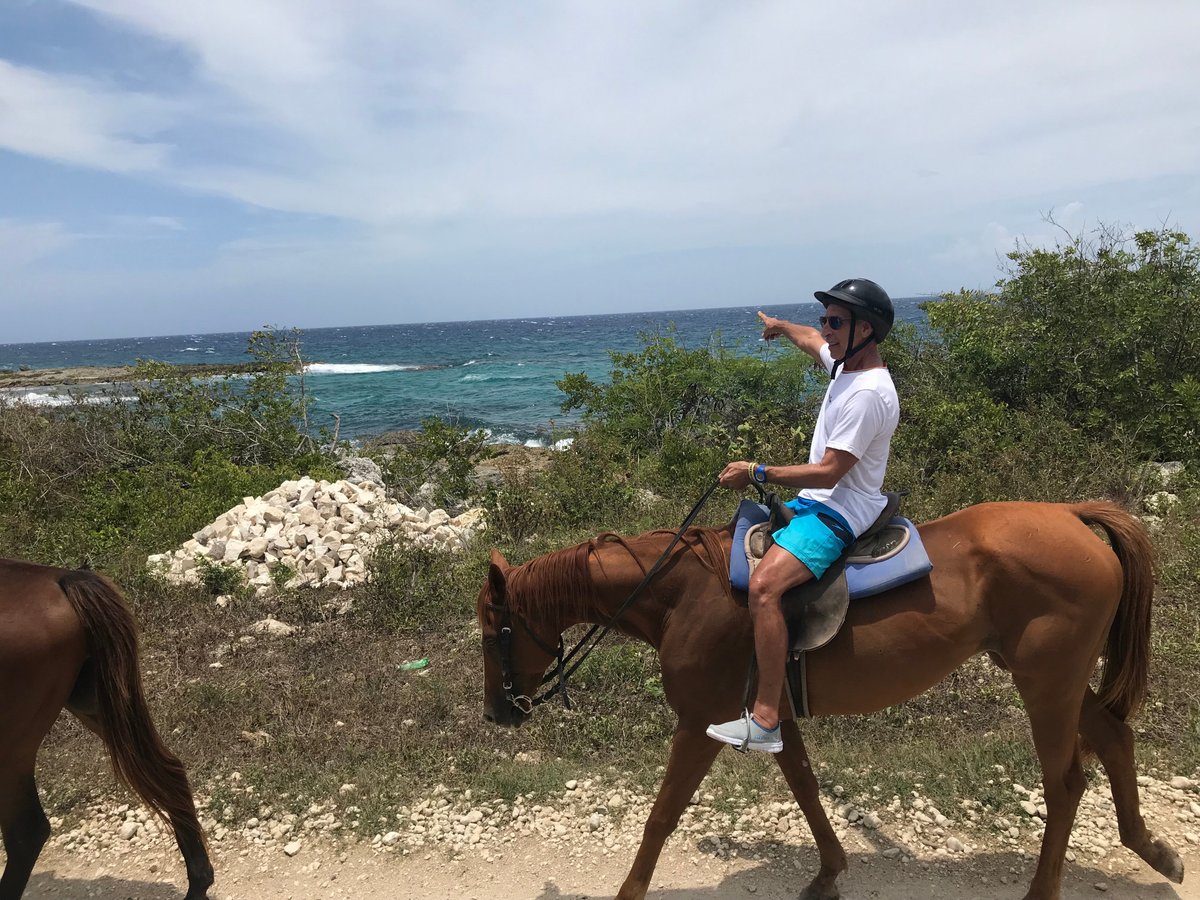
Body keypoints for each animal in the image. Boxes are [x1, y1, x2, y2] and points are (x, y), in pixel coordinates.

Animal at [0, 561, 213, 900]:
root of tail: (62, 578)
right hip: (93, 699)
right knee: (170, 772)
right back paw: (198, 882)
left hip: (13, 741)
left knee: (26, 833)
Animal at [480, 504, 1190, 897]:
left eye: (495, 632)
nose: (497, 712)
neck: (682, 594)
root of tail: (1071, 514)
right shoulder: (770, 715)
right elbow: (805, 787)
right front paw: (828, 873)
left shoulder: (699, 722)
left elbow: (661, 816)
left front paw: (630, 890)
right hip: (1056, 678)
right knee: (1114, 735)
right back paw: (1151, 848)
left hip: (1047, 682)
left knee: (1066, 782)